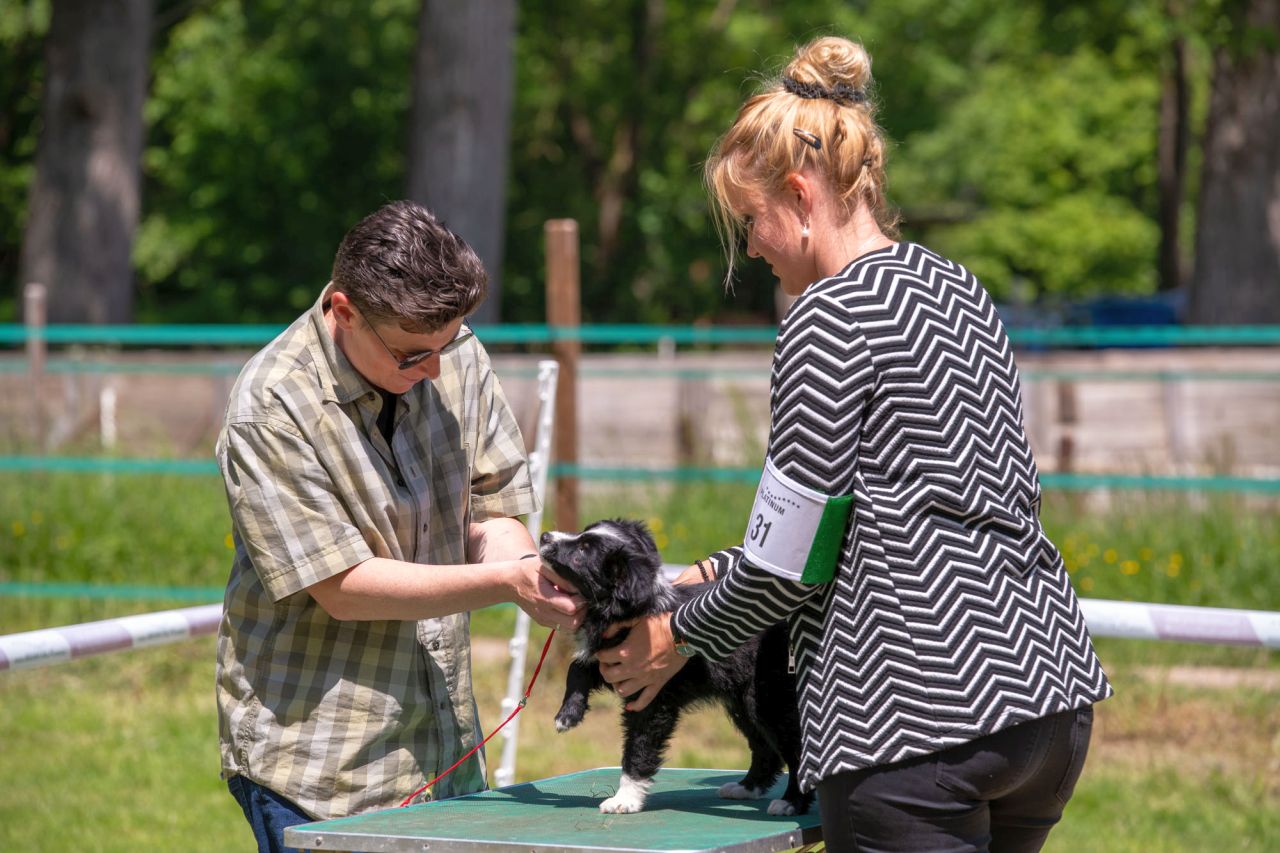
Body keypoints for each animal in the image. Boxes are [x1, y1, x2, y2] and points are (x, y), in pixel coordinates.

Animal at [540, 514, 808, 814]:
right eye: (583, 535)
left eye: (582, 552)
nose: (544, 536)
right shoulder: (614, 660)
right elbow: (578, 667)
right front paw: (568, 714)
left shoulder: (652, 697)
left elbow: (639, 746)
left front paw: (625, 799)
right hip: (743, 700)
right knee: (765, 746)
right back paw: (747, 787)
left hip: (769, 697)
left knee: (796, 747)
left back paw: (792, 802)